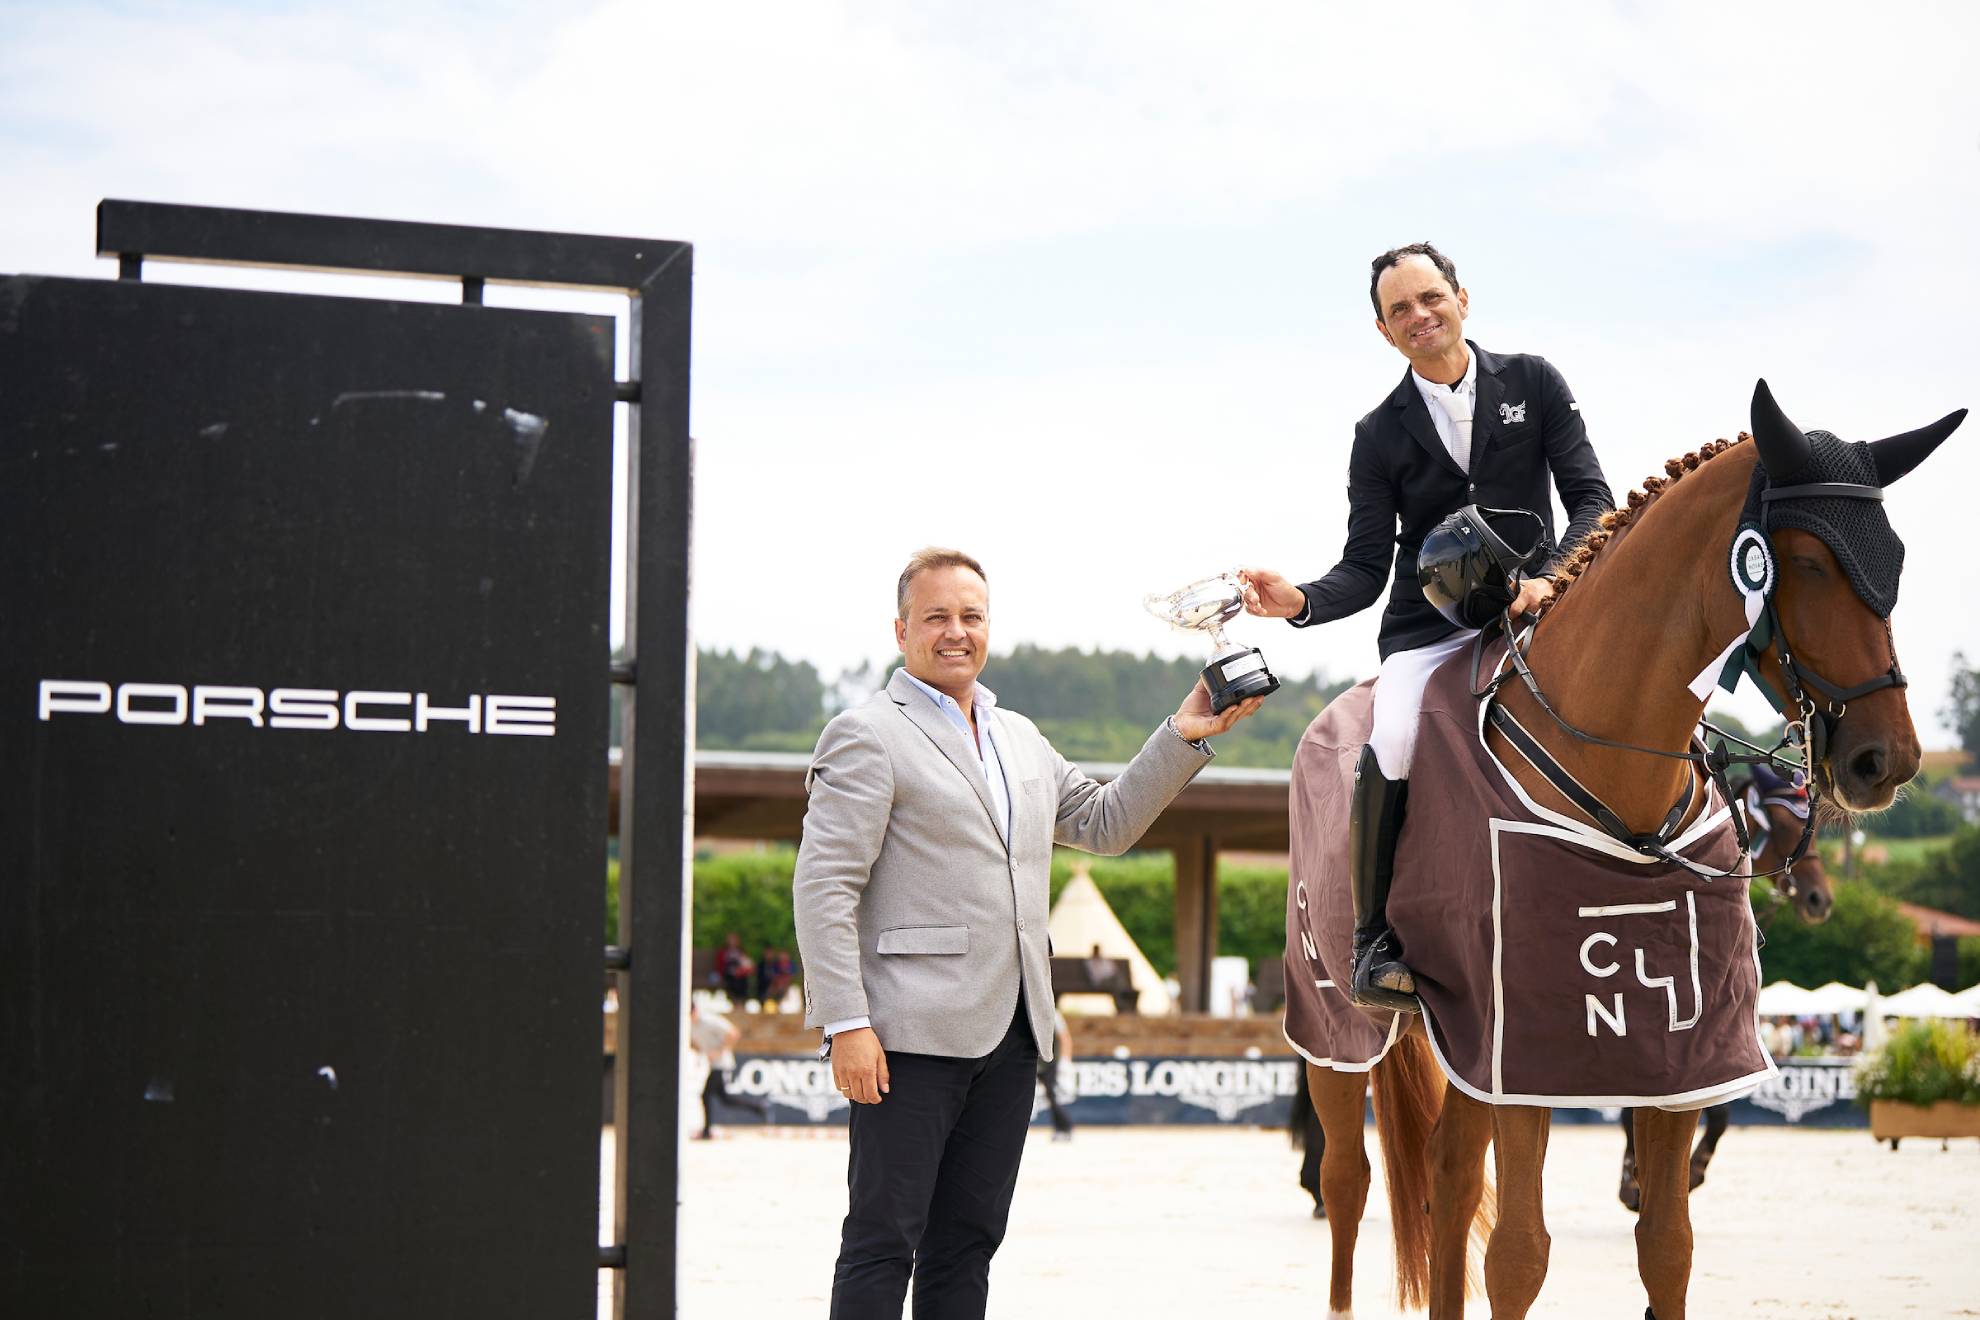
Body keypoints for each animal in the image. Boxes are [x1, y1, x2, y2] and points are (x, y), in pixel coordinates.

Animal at [1298, 383, 1964, 1320]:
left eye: (1895, 558)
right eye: (1807, 564)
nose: (1888, 761)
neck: (1617, 775)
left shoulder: (1673, 1043)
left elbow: (1669, 1246)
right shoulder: (1529, 1043)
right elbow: (1519, 1256)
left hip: (1460, 1042)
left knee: (1450, 1177)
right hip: (1335, 1023)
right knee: (1348, 1178)